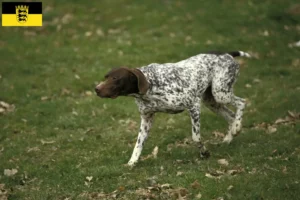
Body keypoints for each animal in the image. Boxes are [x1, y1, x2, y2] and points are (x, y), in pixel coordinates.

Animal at [95, 50, 250, 166]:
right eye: (106, 77)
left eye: (115, 78)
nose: (96, 89)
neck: (151, 85)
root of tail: (227, 53)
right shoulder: (146, 119)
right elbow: (138, 145)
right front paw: (131, 163)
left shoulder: (193, 105)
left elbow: (196, 137)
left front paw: (204, 153)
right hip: (212, 101)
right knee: (231, 116)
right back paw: (229, 137)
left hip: (220, 93)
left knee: (241, 102)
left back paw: (236, 128)